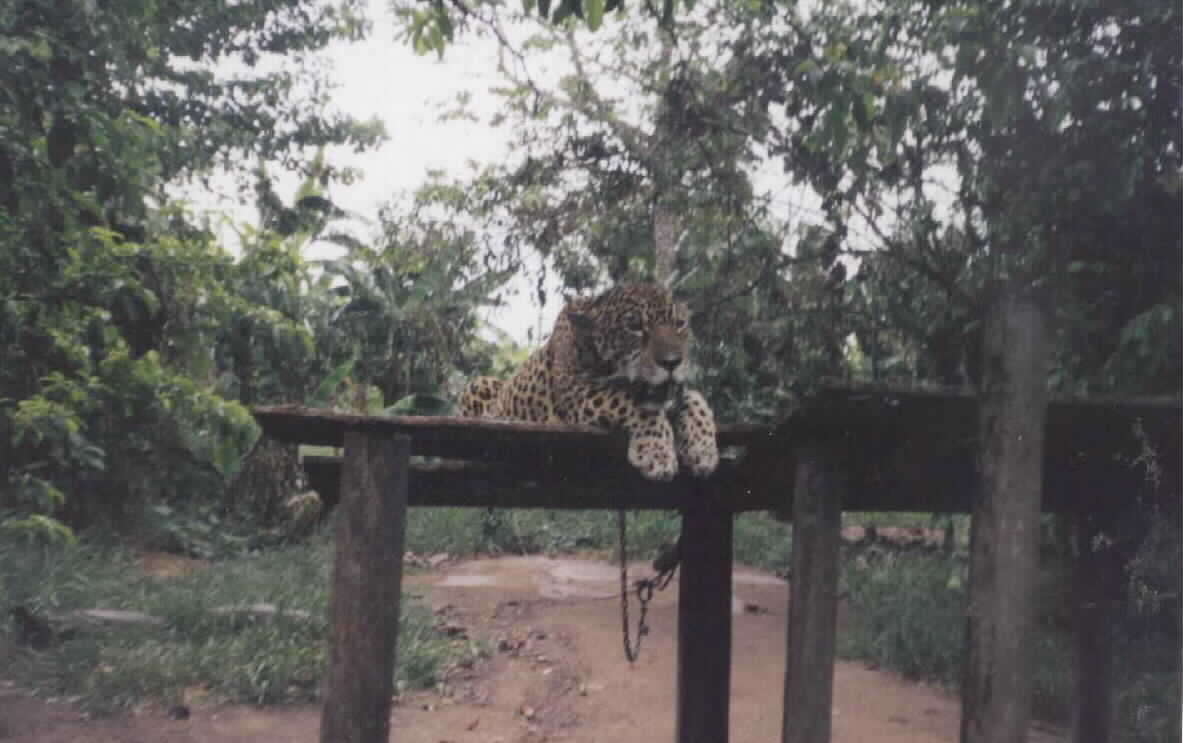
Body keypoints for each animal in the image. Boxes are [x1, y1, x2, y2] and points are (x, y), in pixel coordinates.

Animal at [460, 283, 718, 481]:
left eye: (680, 324)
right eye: (634, 326)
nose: (672, 362)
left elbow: (695, 399)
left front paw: (703, 449)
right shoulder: (578, 393)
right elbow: (631, 402)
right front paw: (657, 454)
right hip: (478, 384)